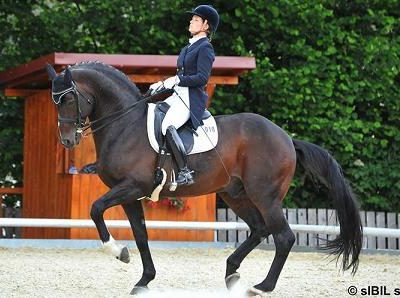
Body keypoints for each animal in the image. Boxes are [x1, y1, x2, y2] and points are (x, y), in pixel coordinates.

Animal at [46, 62, 362, 296]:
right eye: (54, 101)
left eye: (69, 98)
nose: (67, 141)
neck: (125, 124)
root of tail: (286, 137)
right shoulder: (131, 194)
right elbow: (141, 235)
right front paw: (144, 279)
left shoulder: (131, 187)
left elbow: (95, 209)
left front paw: (119, 252)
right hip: (235, 194)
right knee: (259, 229)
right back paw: (232, 273)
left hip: (265, 196)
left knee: (283, 236)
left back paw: (262, 286)